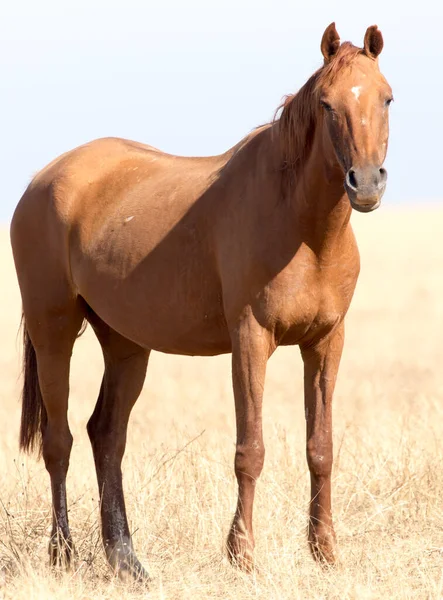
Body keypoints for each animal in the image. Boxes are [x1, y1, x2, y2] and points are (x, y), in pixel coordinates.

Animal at [9, 23, 392, 580]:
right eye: (326, 103)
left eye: (386, 98)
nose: (364, 183)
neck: (303, 227)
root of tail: (43, 180)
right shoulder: (250, 340)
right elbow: (250, 450)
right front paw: (242, 554)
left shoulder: (326, 342)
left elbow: (320, 448)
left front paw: (325, 552)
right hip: (53, 330)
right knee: (59, 442)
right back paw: (63, 554)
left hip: (125, 344)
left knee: (107, 436)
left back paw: (126, 560)